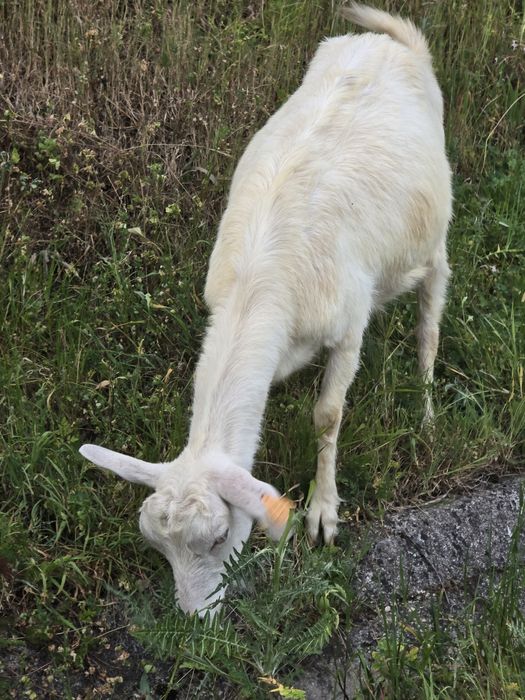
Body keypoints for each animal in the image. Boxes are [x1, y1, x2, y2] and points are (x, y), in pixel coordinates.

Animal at [80, 3, 452, 616]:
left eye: (218, 536)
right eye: (157, 545)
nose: (194, 620)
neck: (262, 284)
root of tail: (391, 40)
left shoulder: (349, 325)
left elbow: (328, 415)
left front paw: (324, 511)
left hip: (434, 238)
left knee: (429, 322)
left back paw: (425, 412)